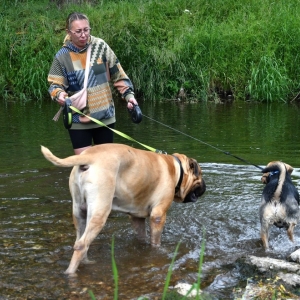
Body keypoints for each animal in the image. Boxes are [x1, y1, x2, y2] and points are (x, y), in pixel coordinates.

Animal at [40, 143, 206, 274]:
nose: (205, 186)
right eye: (201, 174)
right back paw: (70, 273)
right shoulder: (158, 216)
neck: (176, 169)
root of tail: (89, 156)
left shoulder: (137, 217)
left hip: (79, 212)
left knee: (80, 242)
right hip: (100, 212)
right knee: (82, 245)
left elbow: (141, 236)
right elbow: (155, 242)